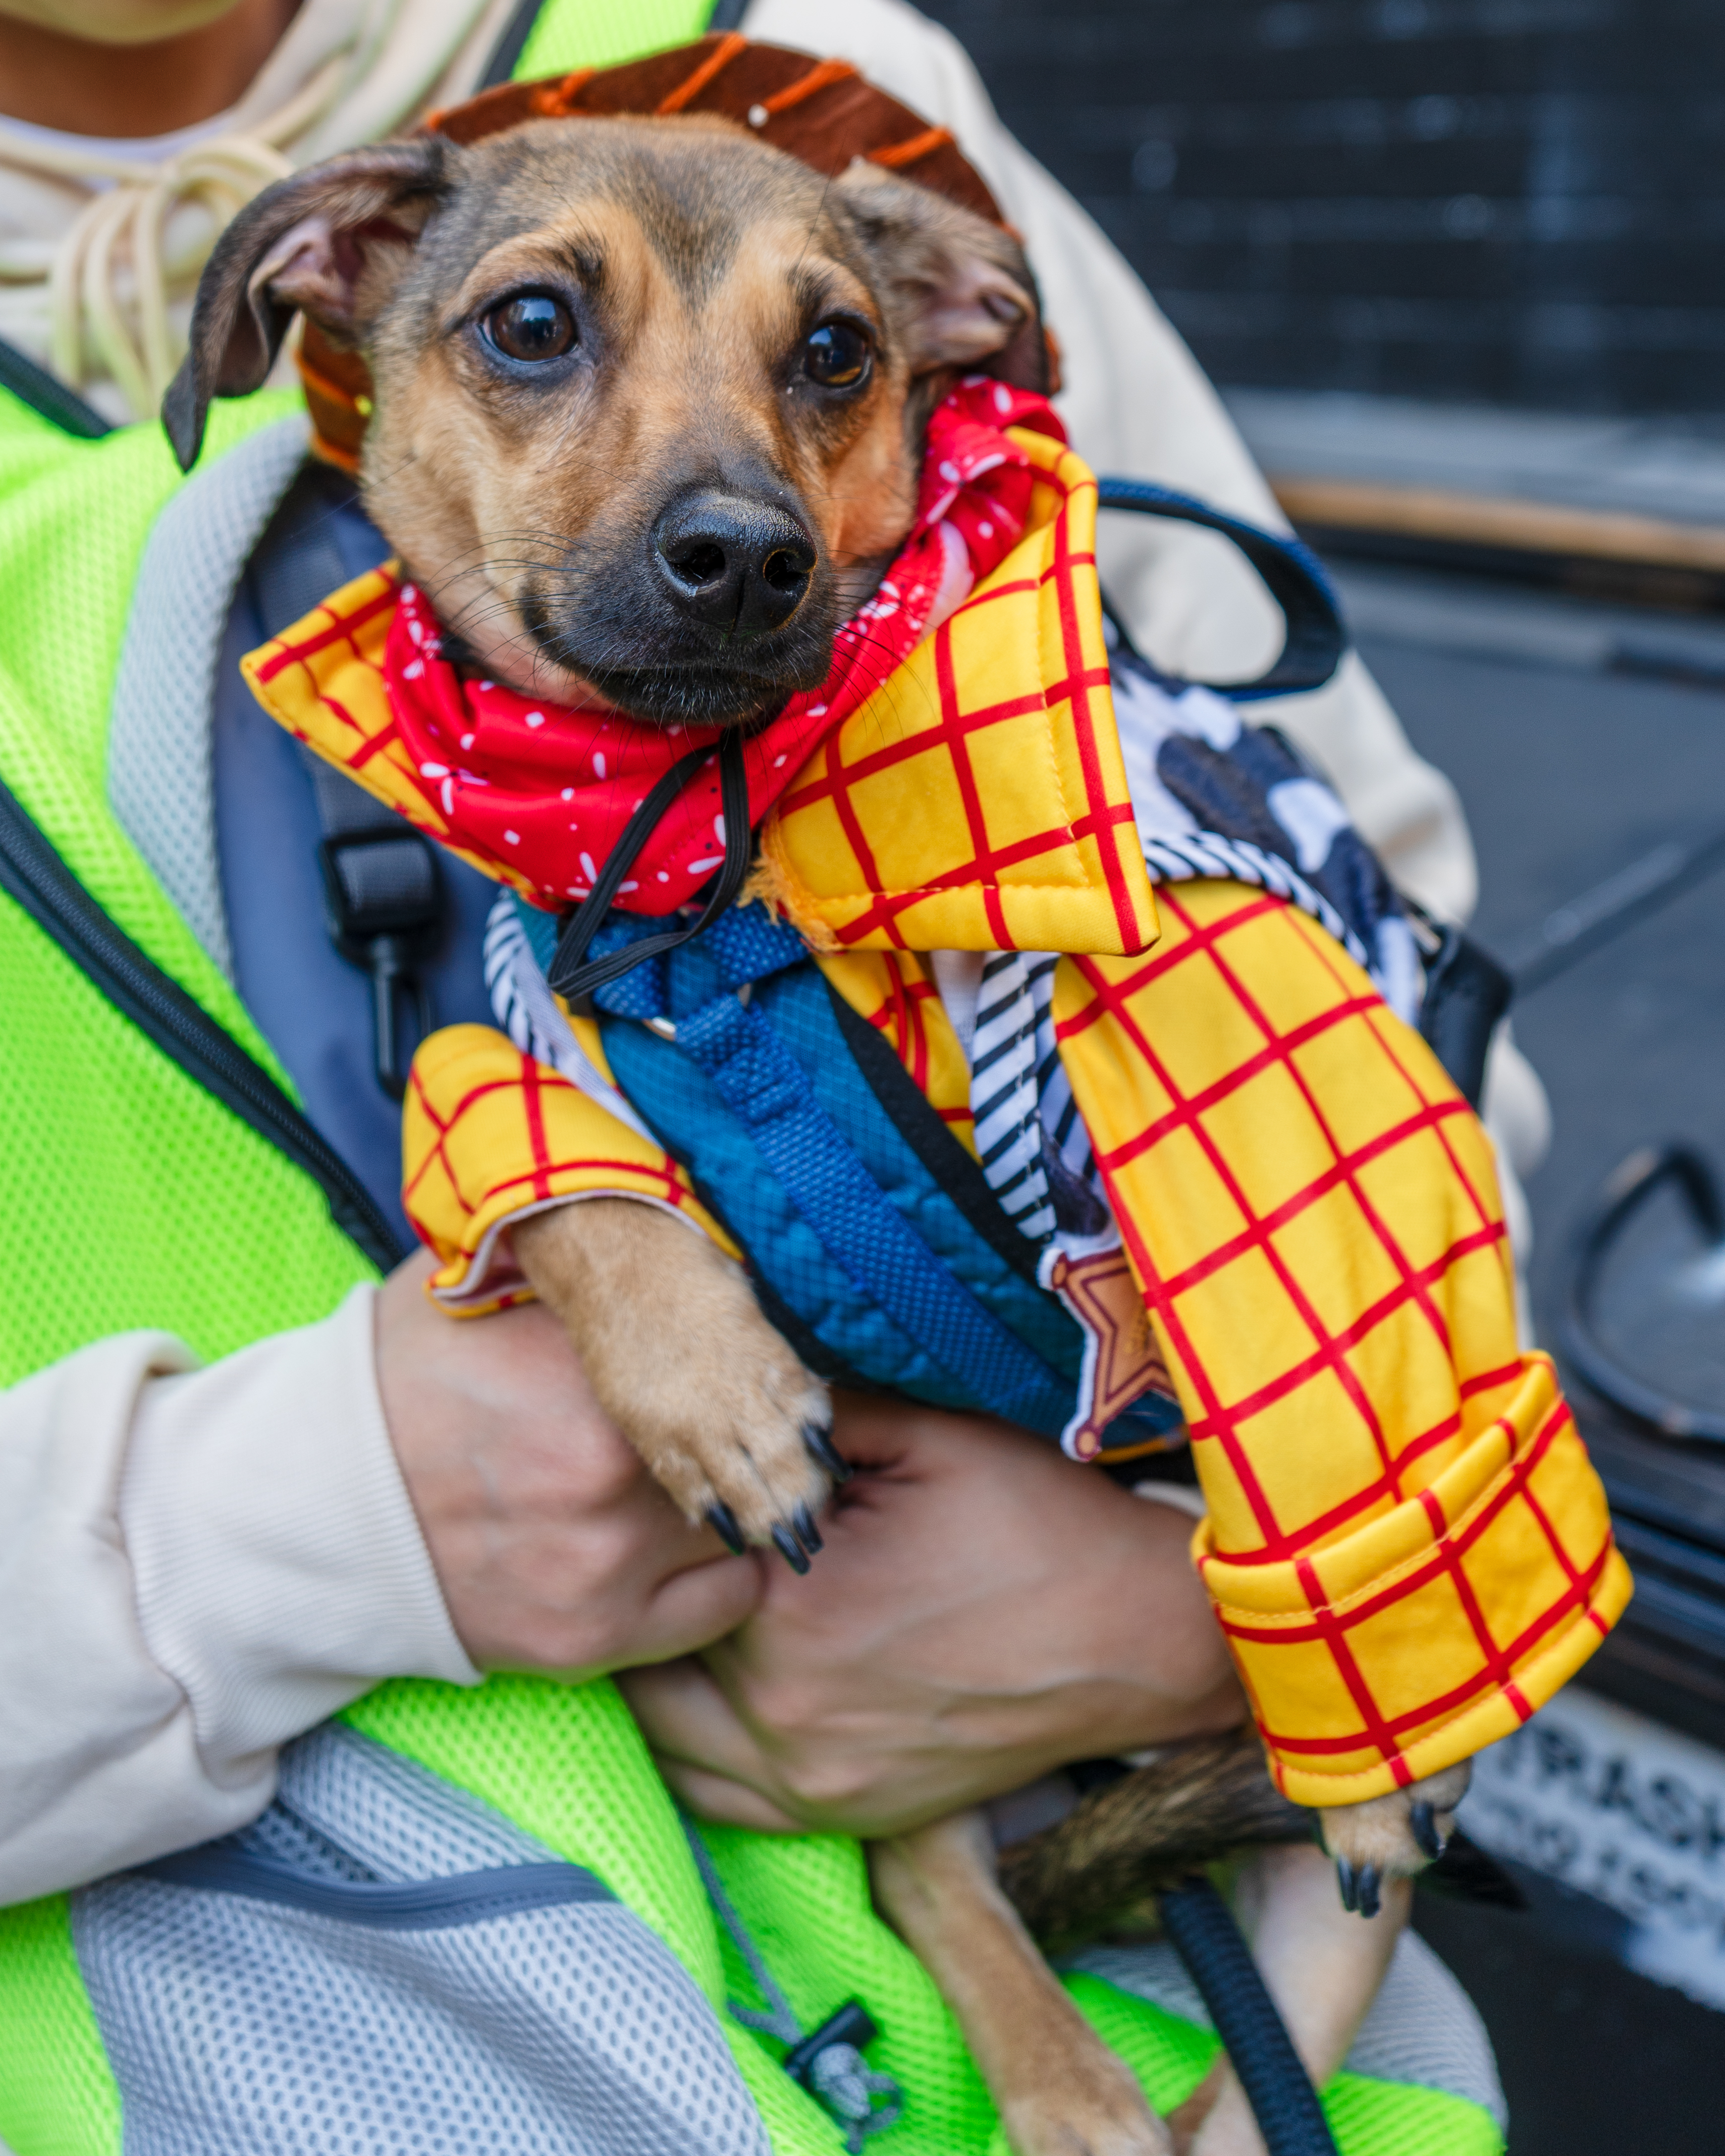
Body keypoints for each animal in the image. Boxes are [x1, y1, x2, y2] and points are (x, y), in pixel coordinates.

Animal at [168, 109, 1466, 2156]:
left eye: (839, 349)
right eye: (530, 322)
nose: (746, 557)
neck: (721, 845)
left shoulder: (1239, 1014)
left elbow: (1321, 1323)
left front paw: (1386, 1690)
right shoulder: (539, 1034)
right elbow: (559, 1189)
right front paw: (716, 1395)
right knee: (939, 1875)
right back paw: (1062, 2073)